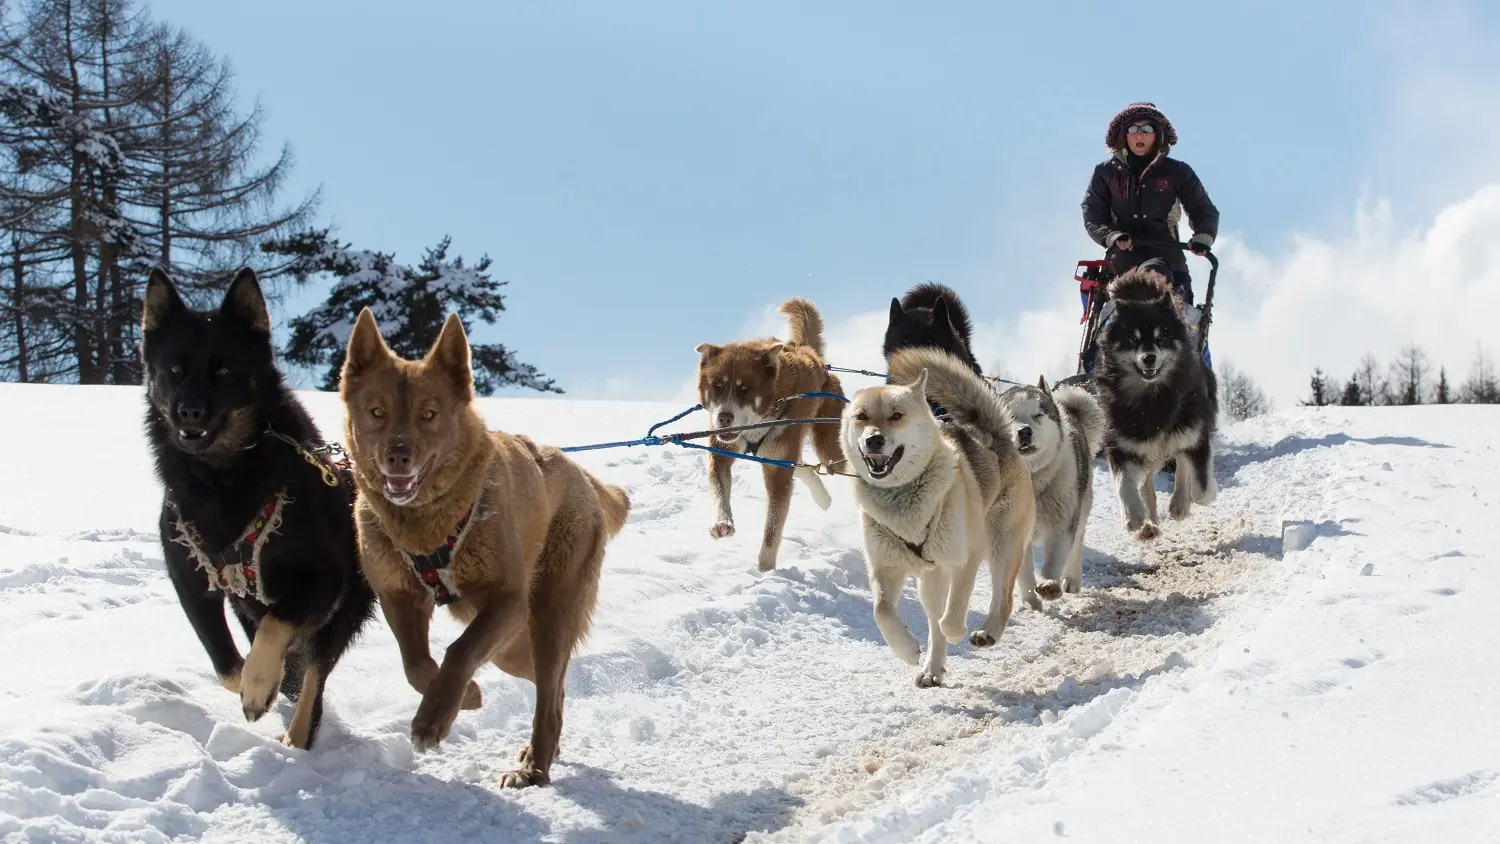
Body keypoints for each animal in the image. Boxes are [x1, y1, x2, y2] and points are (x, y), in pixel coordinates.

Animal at [141, 266, 375, 749]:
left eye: (223, 369)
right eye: (173, 370)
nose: (188, 411)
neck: (222, 478)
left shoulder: (323, 580)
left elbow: (276, 633)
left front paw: (260, 685)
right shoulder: (191, 583)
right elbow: (227, 664)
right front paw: (257, 684)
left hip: (345, 609)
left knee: (314, 681)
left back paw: (298, 737)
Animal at [339, 311, 627, 791]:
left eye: (429, 414)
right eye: (377, 412)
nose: (398, 455)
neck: (425, 526)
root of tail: (582, 476)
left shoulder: (507, 601)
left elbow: (458, 651)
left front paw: (436, 716)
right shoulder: (398, 597)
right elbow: (415, 662)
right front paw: (464, 695)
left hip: (546, 613)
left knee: (548, 695)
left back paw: (534, 768)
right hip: (513, 646)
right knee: (554, 686)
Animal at [690, 298, 846, 575]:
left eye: (745, 389)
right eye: (717, 385)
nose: (724, 418)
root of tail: (810, 353)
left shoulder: (777, 473)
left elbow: (772, 528)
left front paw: (765, 570)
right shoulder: (722, 452)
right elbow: (719, 488)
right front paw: (722, 522)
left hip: (828, 447)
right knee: (804, 468)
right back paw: (823, 499)